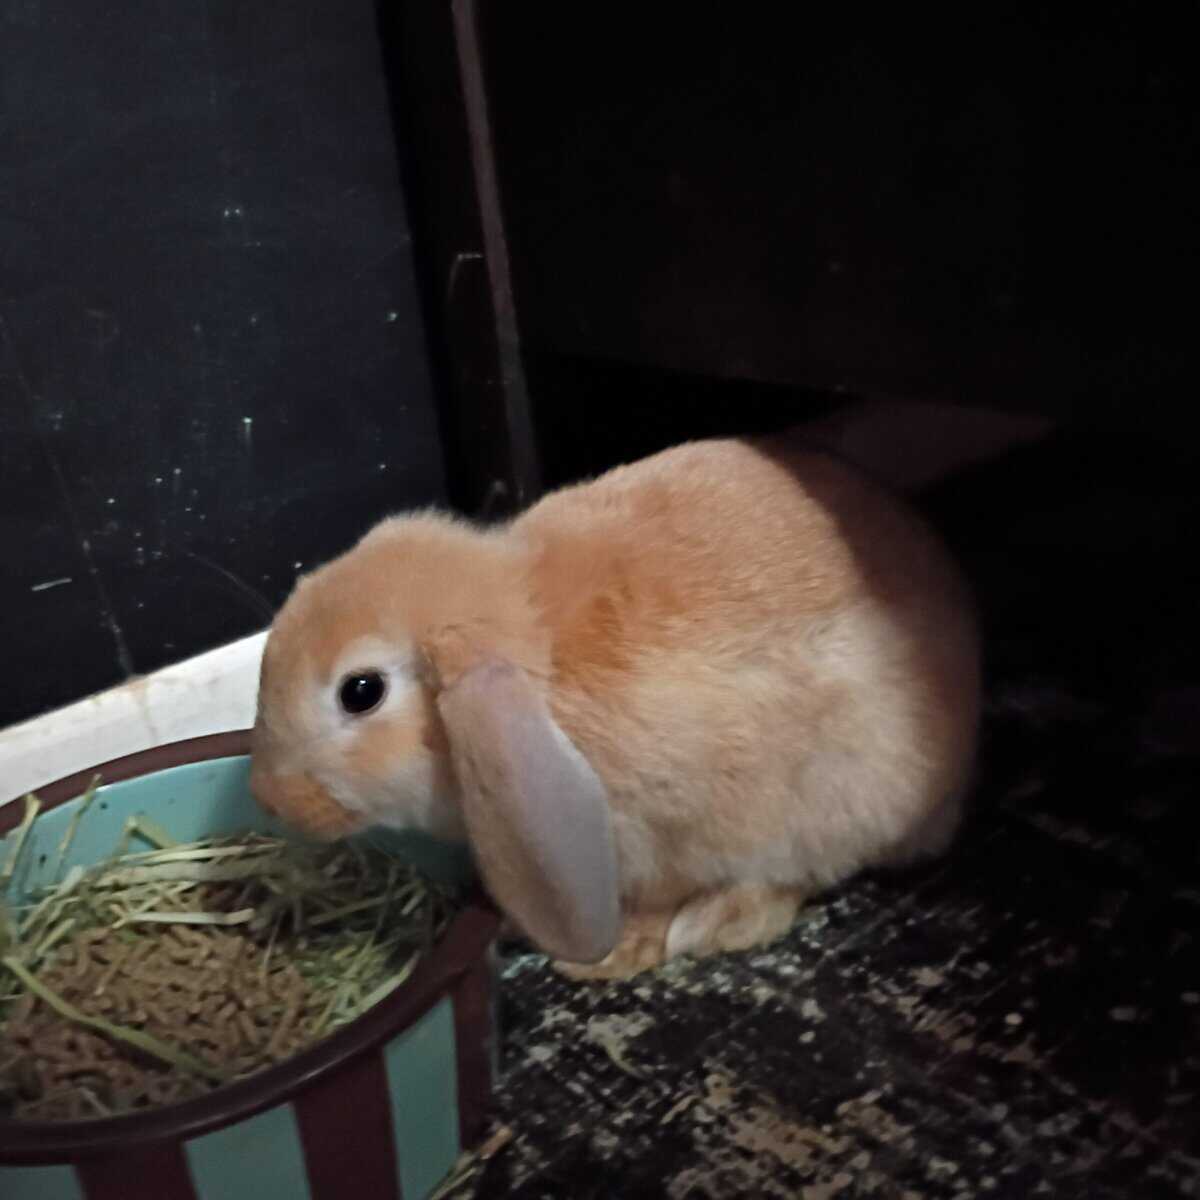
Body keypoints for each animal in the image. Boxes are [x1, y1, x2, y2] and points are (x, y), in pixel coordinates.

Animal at [250, 434, 981, 980]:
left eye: (361, 691)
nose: (266, 797)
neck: (541, 657)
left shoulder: (673, 828)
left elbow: (661, 894)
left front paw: (608, 957)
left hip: (847, 796)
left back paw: (717, 923)